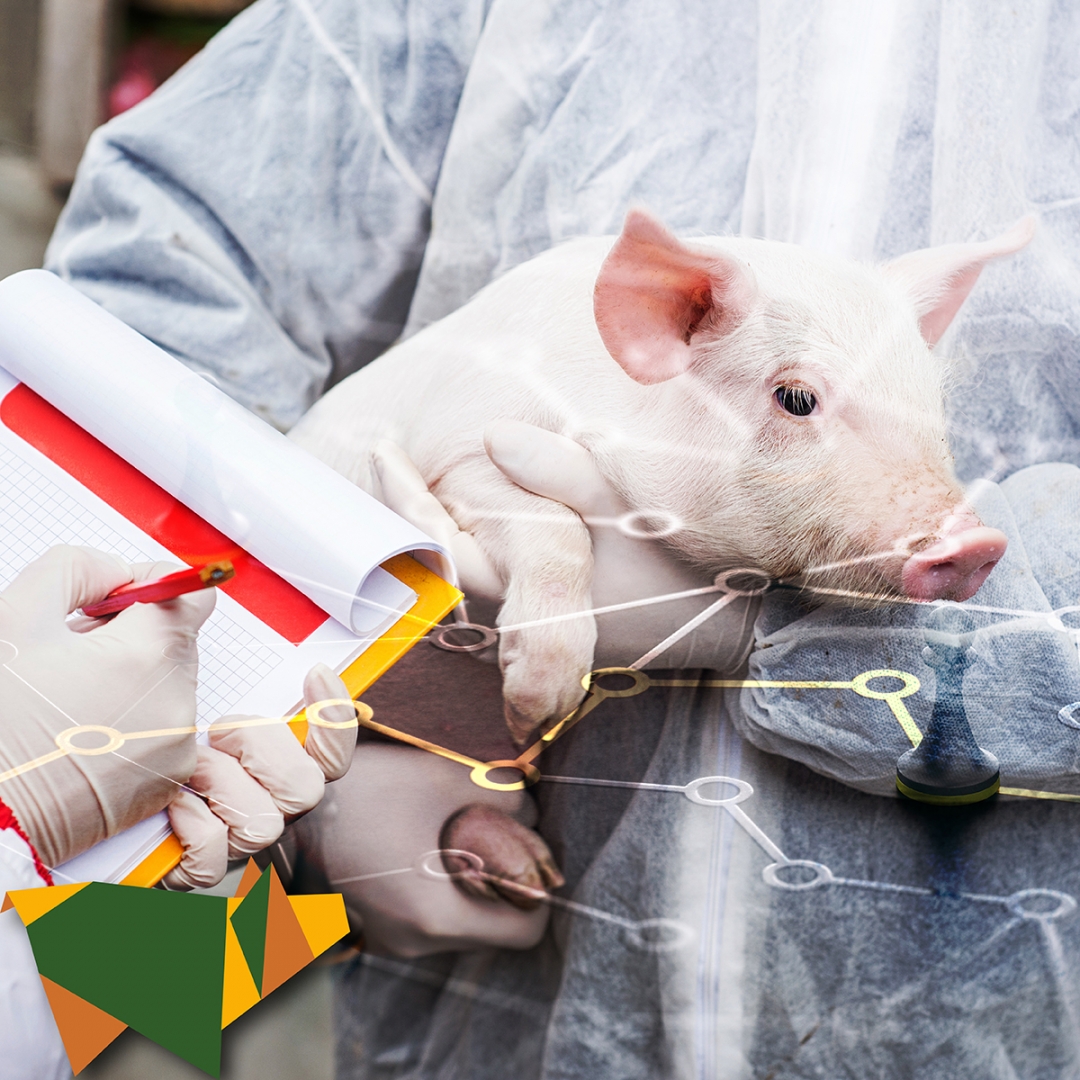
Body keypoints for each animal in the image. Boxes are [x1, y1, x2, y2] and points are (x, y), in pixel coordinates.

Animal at [290, 209, 1033, 742]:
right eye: (796, 397)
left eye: (933, 402)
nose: (977, 543)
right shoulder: (455, 446)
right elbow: (555, 525)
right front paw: (537, 711)